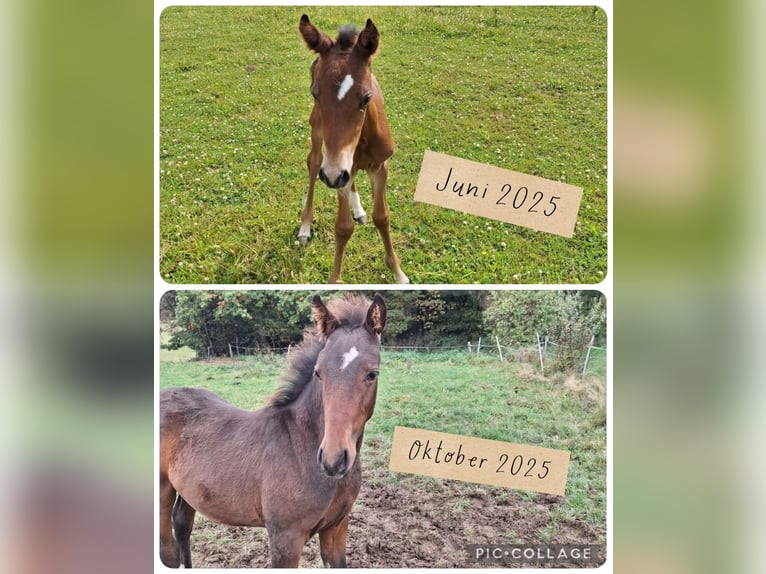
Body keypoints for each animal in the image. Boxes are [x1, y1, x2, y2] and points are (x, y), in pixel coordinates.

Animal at [159, 294, 387, 568]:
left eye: (372, 374)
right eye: (318, 373)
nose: (333, 460)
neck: (301, 447)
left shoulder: (337, 526)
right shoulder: (285, 540)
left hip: (188, 490)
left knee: (182, 524)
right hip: (162, 489)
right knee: (168, 551)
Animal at [298, 15, 409, 285]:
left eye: (366, 98)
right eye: (315, 94)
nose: (333, 174)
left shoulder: (380, 166)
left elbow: (383, 217)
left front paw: (399, 273)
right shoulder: (336, 170)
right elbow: (343, 228)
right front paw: (334, 280)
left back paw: (358, 209)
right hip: (318, 137)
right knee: (313, 163)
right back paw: (305, 226)